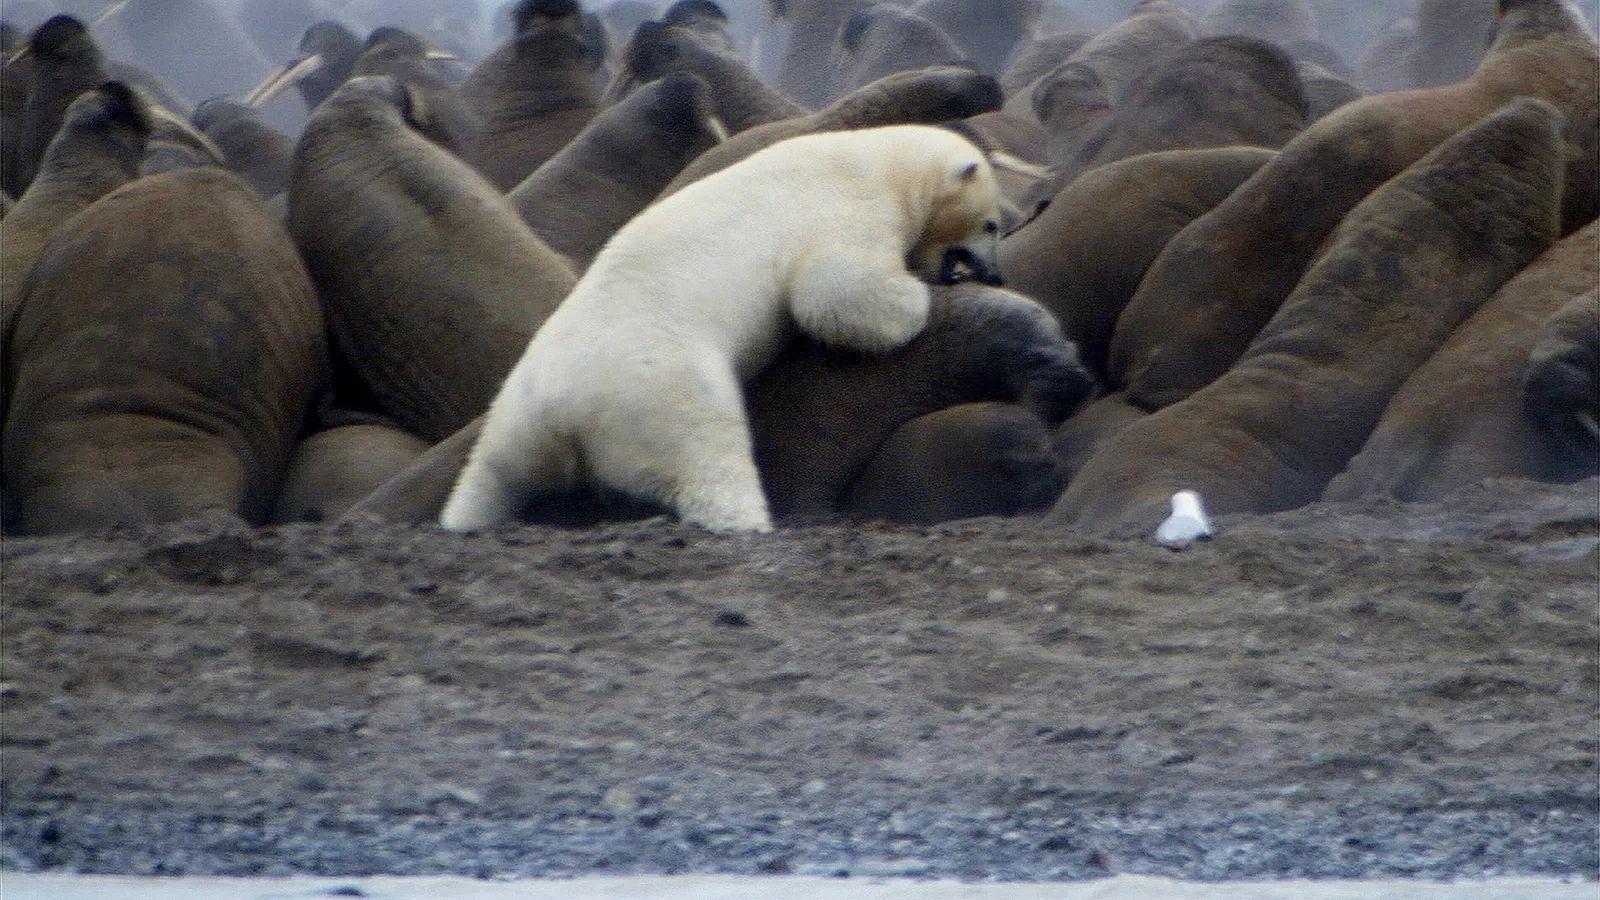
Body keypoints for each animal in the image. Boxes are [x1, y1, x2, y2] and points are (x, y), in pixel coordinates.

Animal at [440, 124, 1006, 534]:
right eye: (993, 223)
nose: (994, 271)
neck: (882, 160)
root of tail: (564, 412)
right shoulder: (845, 206)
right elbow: (832, 292)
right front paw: (914, 300)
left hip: (516, 412)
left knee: (492, 472)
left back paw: (465, 518)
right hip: (661, 387)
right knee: (707, 450)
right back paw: (749, 521)